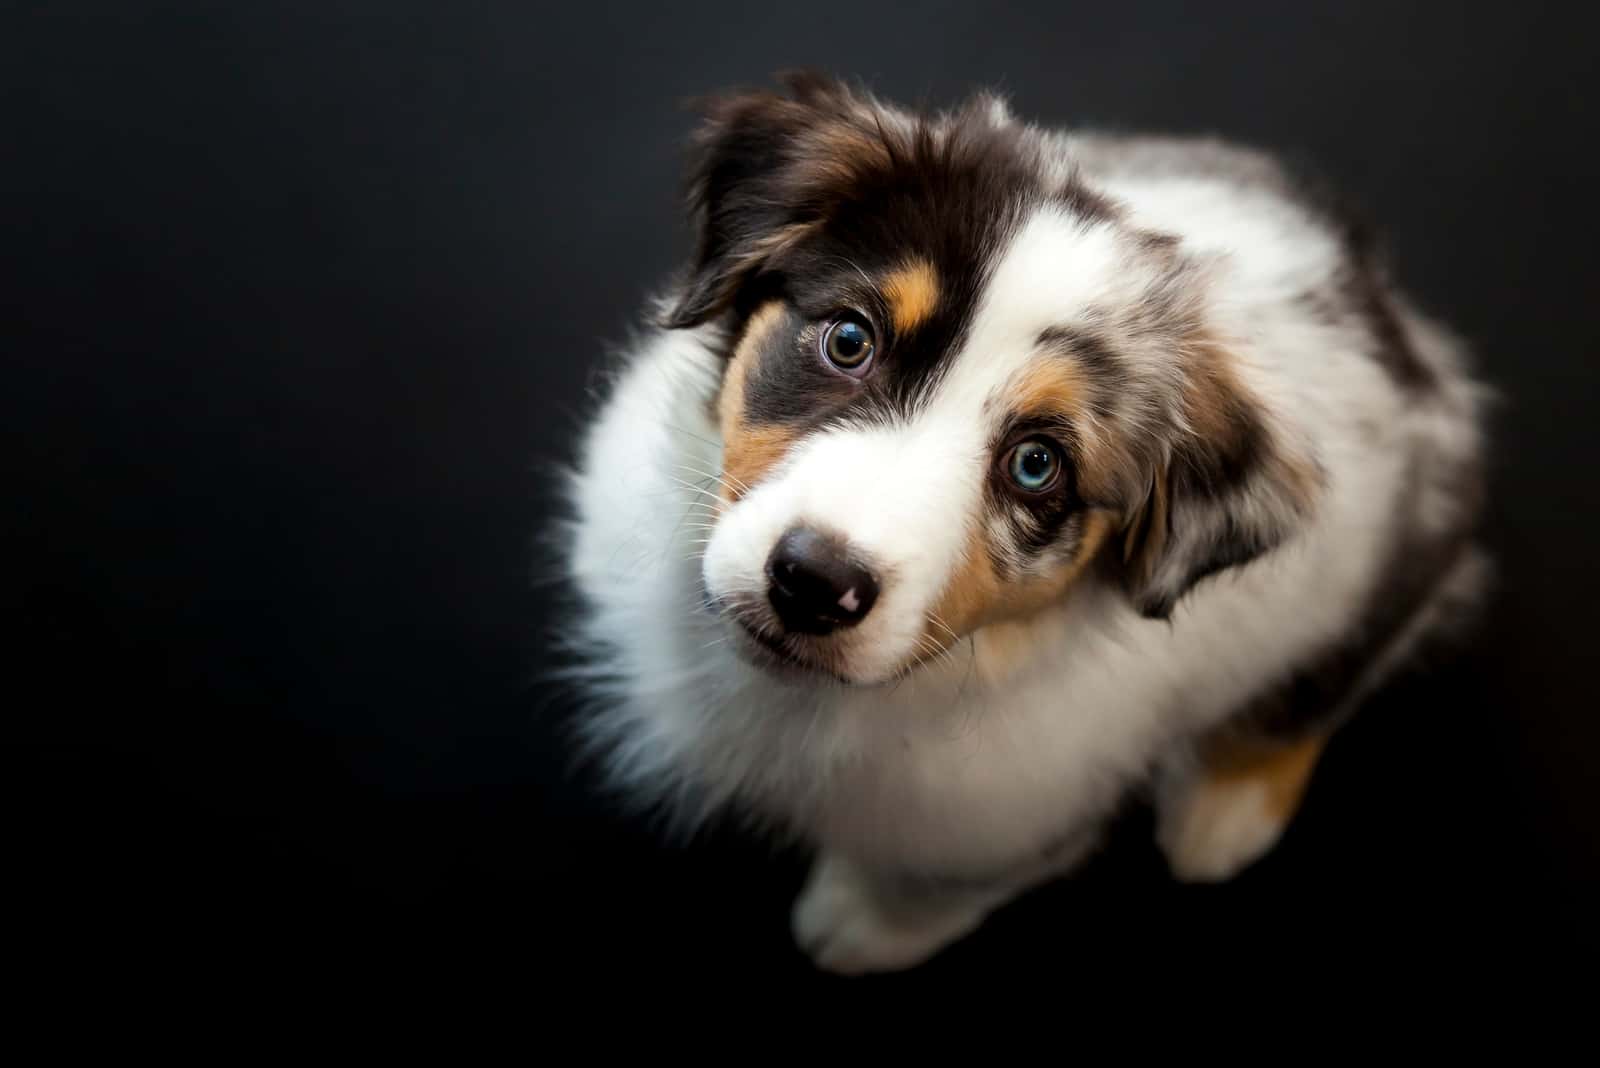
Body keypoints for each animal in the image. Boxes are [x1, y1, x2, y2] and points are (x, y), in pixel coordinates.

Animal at [563, 73, 1484, 978]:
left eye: (1037, 465)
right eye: (850, 338)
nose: (814, 584)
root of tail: (1394, 317)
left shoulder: (1019, 804)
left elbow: (941, 876)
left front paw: (857, 926)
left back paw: (1222, 815)